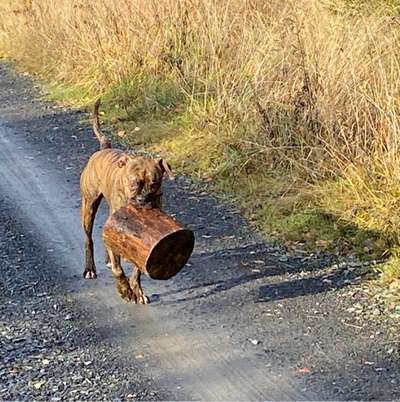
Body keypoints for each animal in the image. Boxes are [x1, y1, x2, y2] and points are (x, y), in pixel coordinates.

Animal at [80, 99, 173, 304]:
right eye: (133, 183)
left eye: (154, 184)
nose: (142, 199)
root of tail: (104, 148)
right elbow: (118, 270)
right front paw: (125, 290)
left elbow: (137, 269)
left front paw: (137, 290)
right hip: (88, 206)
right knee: (89, 239)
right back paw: (90, 269)